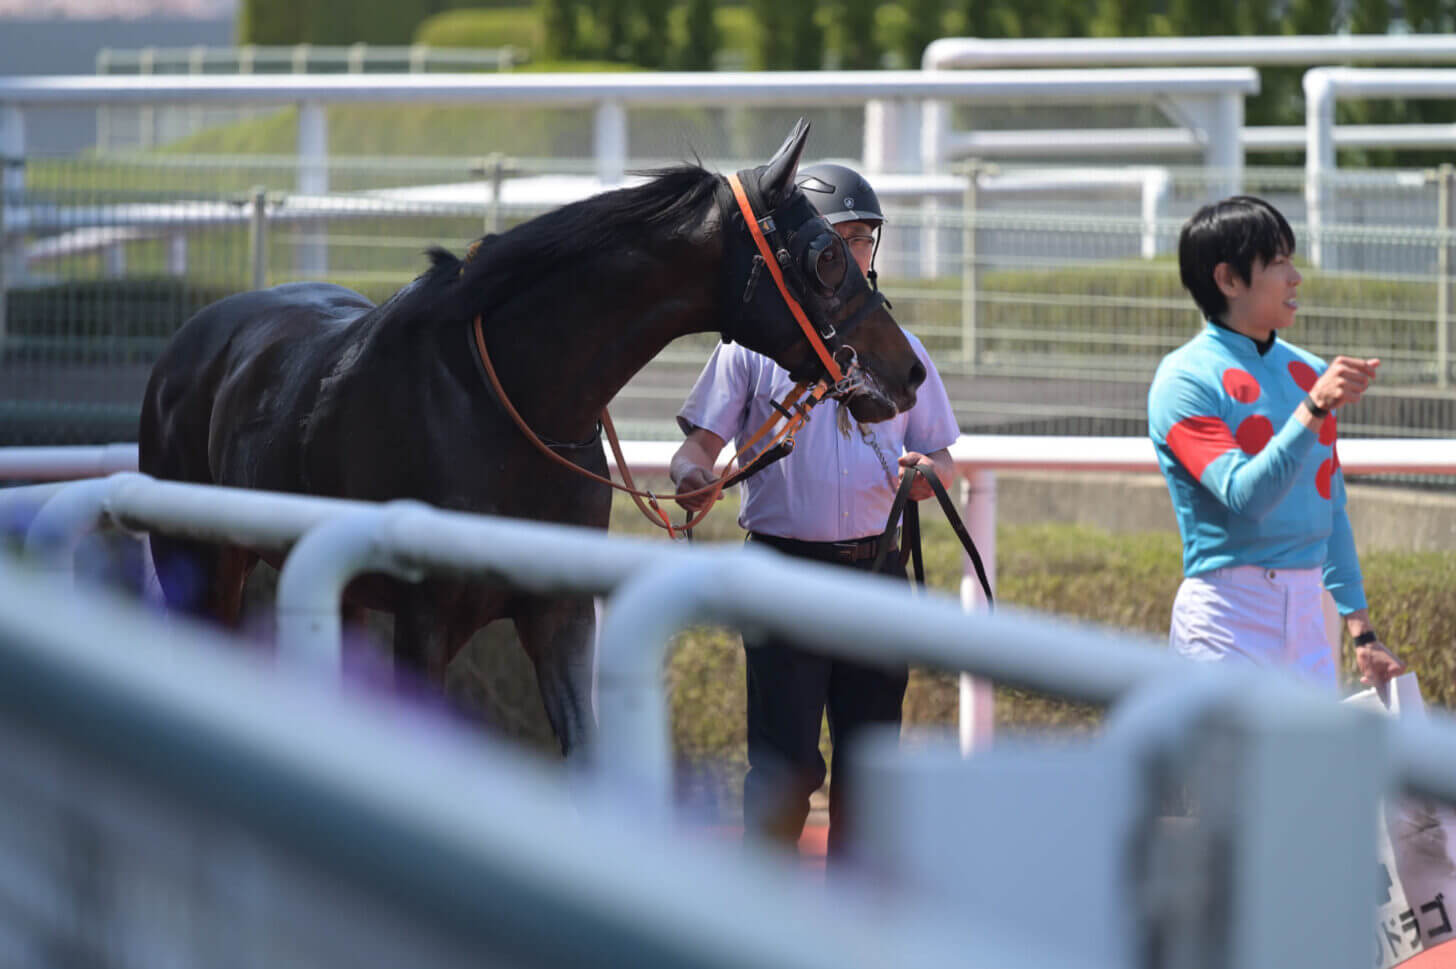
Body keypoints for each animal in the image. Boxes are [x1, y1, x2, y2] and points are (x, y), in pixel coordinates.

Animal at [141, 120, 926, 756]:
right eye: (826, 255)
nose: (910, 369)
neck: (507, 402)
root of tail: (188, 340)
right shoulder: (424, 617)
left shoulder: (559, 610)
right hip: (201, 560)